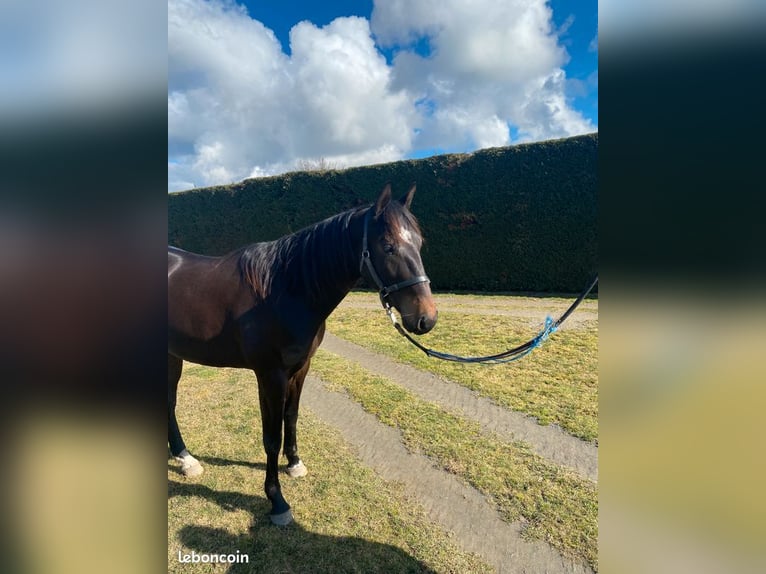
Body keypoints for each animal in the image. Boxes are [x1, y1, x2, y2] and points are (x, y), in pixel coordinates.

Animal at [169, 184, 438, 528]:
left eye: (419, 243)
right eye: (388, 246)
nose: (426, 318)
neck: (283, 291)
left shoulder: (300, 368)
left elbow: (291, 417)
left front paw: (294, 463)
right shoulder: (270, 375)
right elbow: (271, 436)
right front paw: (277, 501)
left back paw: (185, 459)